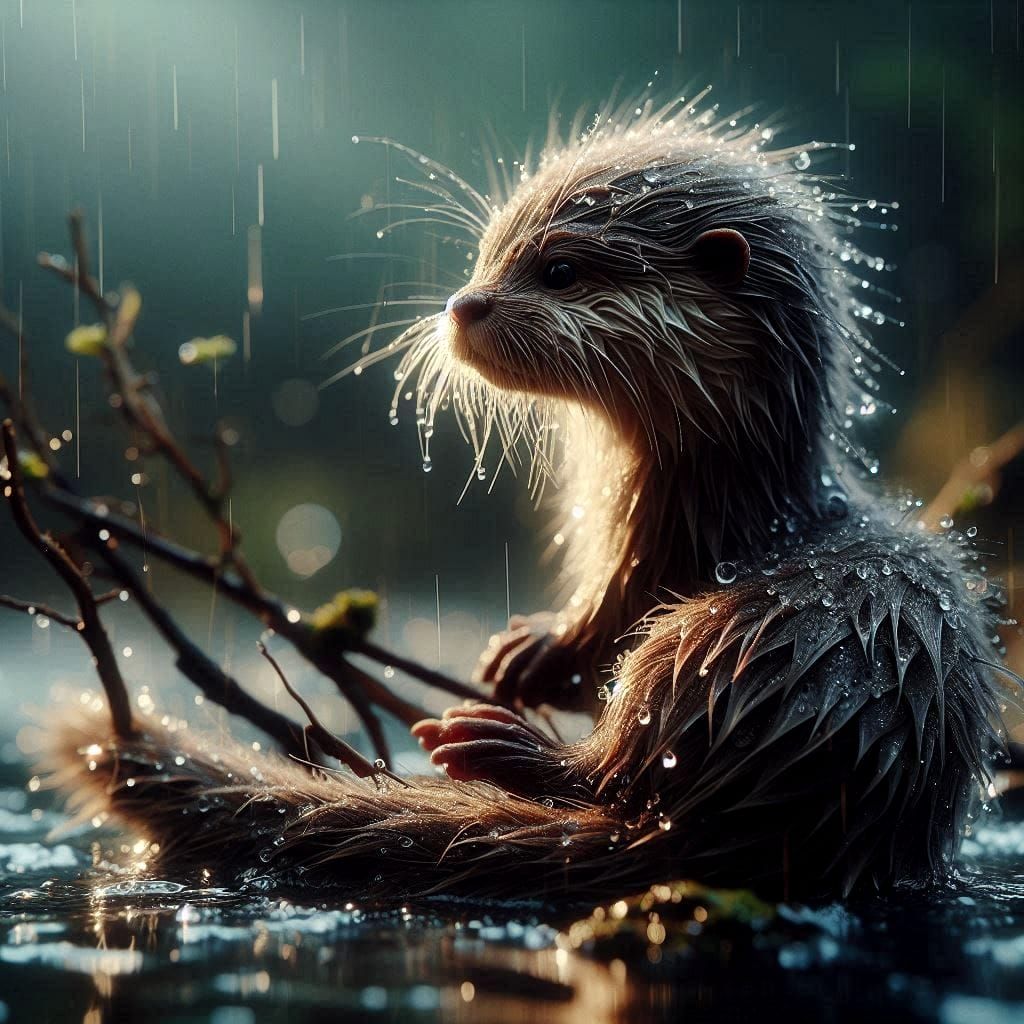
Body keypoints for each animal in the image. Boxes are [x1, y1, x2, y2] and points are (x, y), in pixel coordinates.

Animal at [44, 95, 1012, 901]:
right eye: (491, 250)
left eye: (560, 270)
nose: (462, 304)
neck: (728, 502)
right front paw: (529, 654)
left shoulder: (656, 556)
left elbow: (611, 628)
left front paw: (542, 649)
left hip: (730, 647)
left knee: (627, 766)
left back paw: (503, 747)